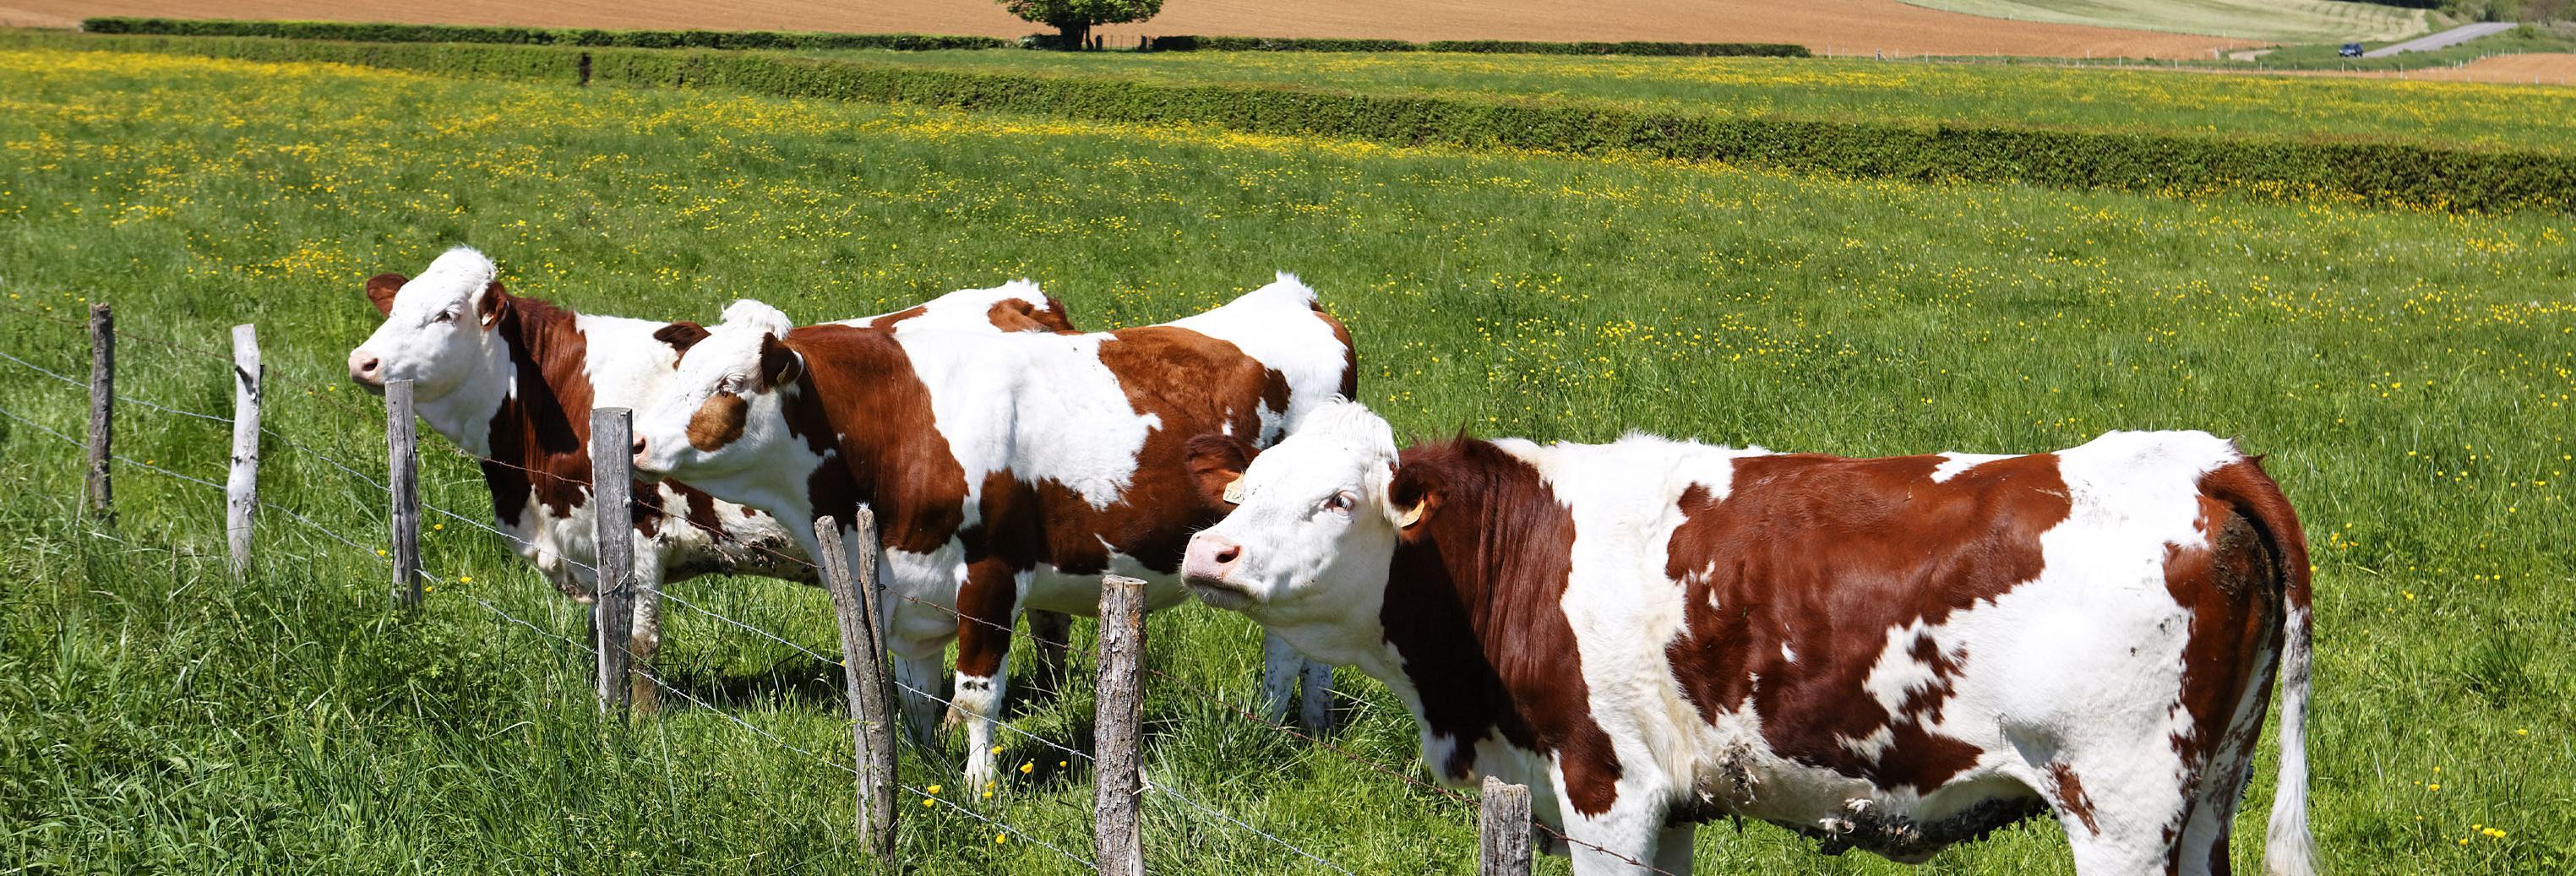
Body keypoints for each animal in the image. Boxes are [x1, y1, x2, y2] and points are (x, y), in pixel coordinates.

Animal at [347, 244, 1071, 705]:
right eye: (394, 305)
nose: (362, 360)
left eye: (446, 313)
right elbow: (603, 636)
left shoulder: (637, 535)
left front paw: (631, 729)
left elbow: (637, 644)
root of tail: (1025, 298)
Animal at [631, 275, 1359, 778]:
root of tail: (1294, 296)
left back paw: (1270, 726)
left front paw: (979, 789)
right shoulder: (905, 590)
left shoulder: (991, 577)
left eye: (728, 385)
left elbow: (976, 696)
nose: (634, 439)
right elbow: (915, 696)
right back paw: (1314, 726)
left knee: (1285, 651)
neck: (897, 424)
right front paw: (924, 769)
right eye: (680, 371)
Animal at [1179, 401, 2328, 876]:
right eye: (1247, 487)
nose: (1207, 551)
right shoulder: (1664, 798)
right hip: (2207, 794)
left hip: (2118, 804)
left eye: (1335, 499)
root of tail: (2201, 457)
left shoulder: (1605, 784)